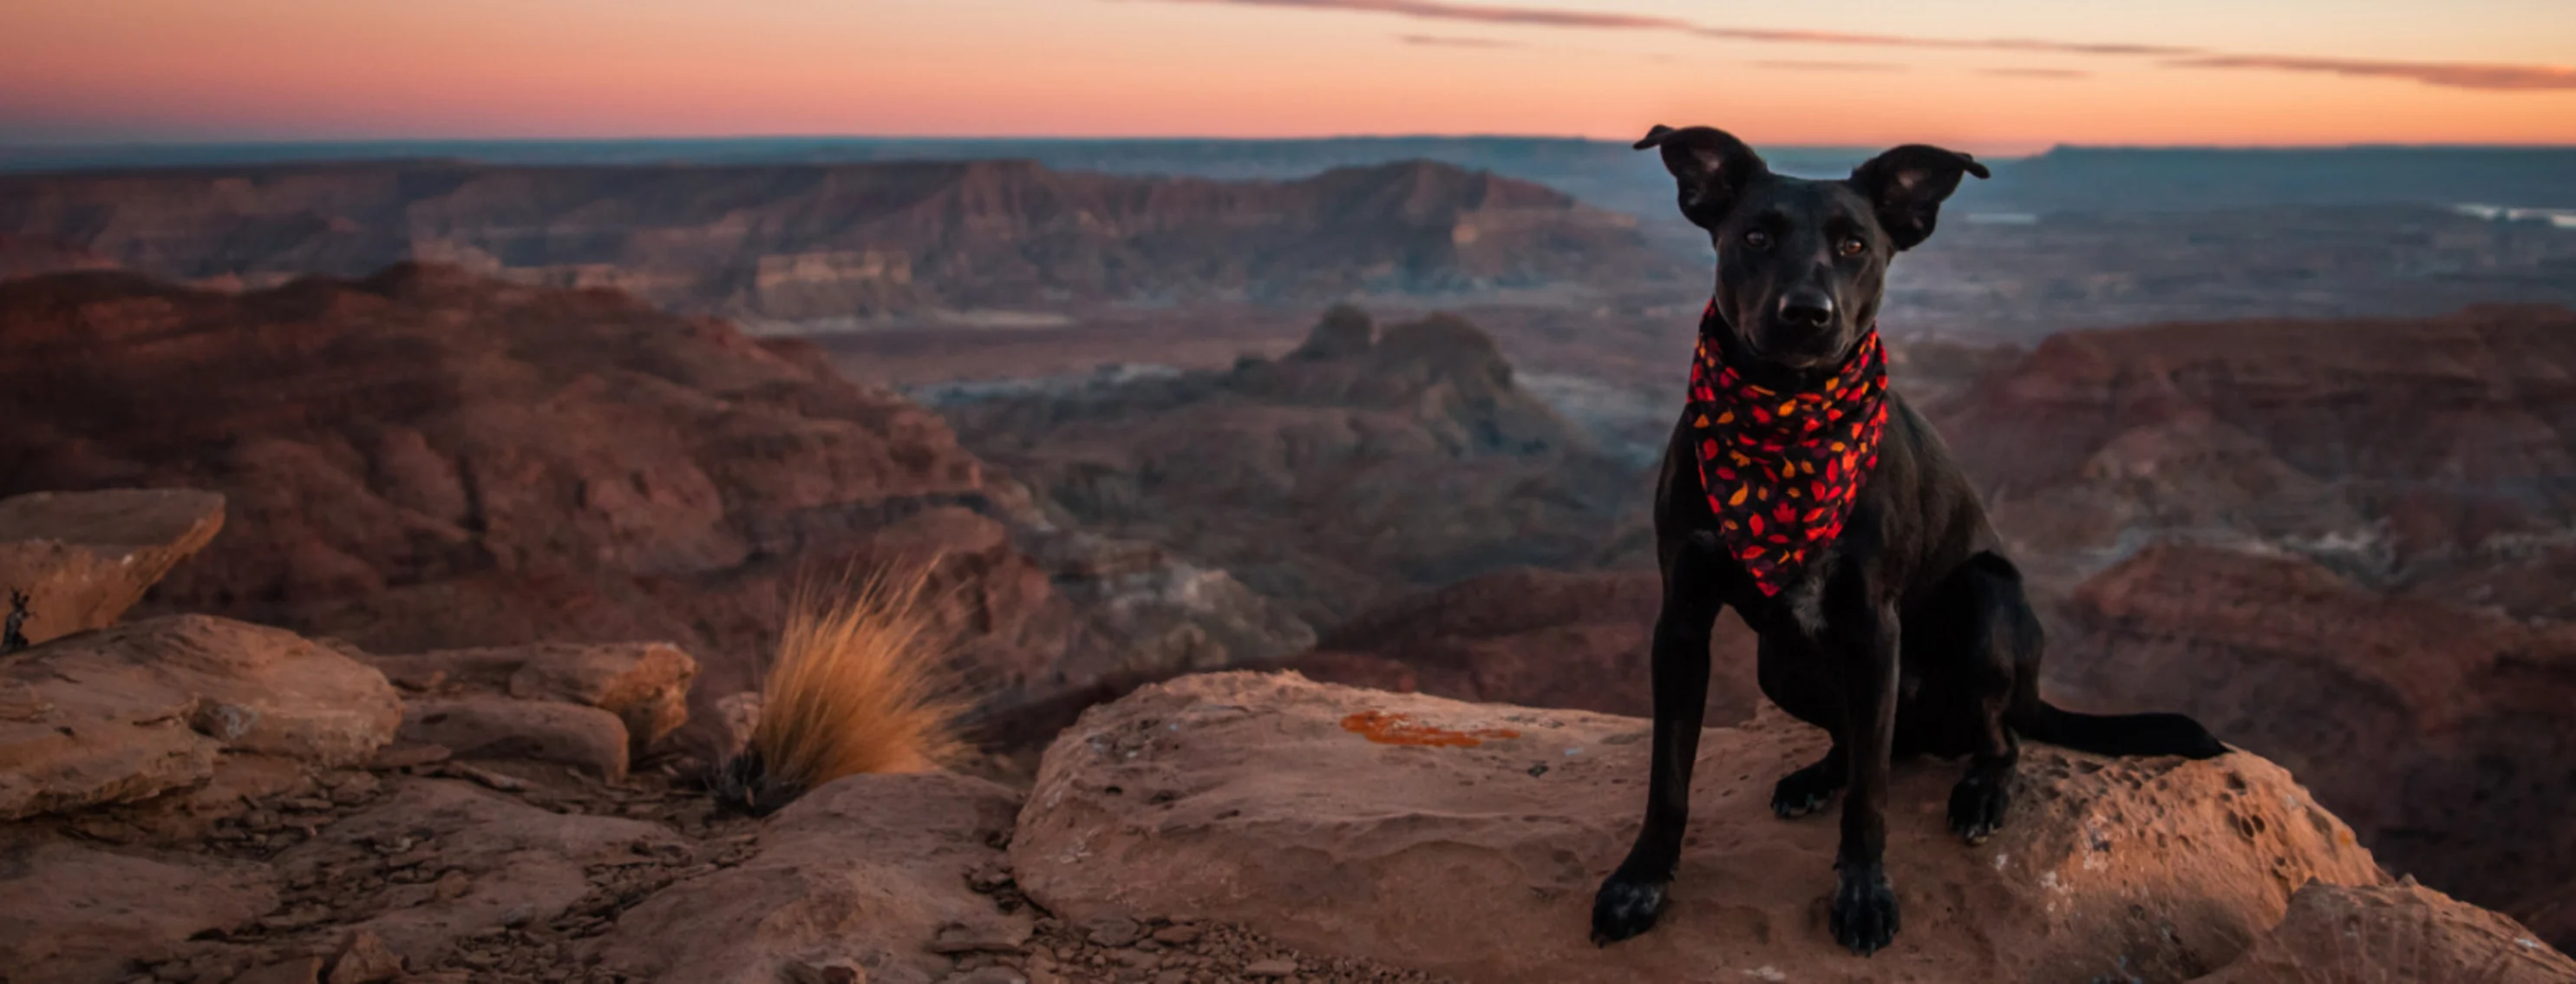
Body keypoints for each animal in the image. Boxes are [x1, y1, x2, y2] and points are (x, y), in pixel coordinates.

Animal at [1576, 127, 2226, 958]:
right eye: (1755, 237)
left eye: (1856, 245)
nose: (1807, 314)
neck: (1786, 425)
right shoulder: (1682, 620)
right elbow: (1669, 777)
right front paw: (1641, 881)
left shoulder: (1872, 625)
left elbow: (1874, 800)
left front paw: (1863, 894)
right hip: (1779, 665)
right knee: (1874, 743)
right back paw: (1818, 776)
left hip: (1983, 609)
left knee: (1995, 740)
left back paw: (1980, 791)